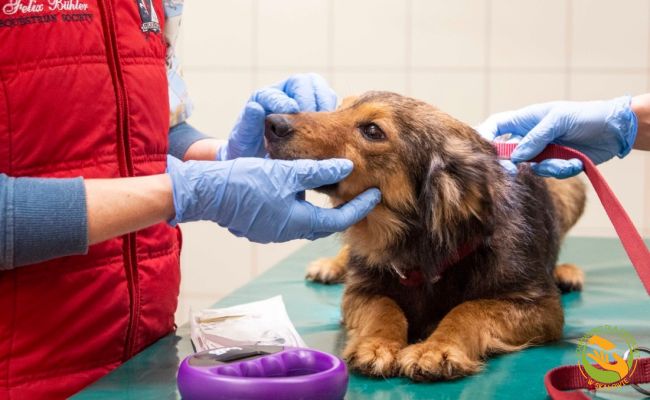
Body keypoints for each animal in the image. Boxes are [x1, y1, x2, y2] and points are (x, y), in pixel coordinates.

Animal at [264, 91, 586, 381]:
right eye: (338, 108)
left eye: (372, 130)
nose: (271, 122)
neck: (420, 248)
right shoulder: (359, 292)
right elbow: (385, 308)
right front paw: (377, 345)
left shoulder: (542, 307)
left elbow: (469, 309)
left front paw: (436, 349)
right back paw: (331, 265)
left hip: (570, 185)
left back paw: (565, 271)